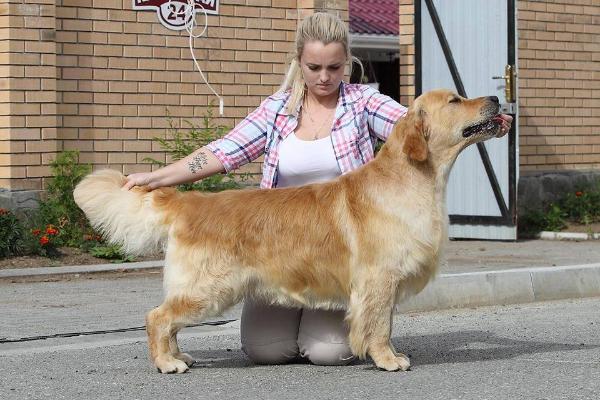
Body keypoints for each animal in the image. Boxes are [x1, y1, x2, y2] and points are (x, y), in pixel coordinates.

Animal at [74, 89, 506, 374]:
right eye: (455, 101)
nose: (496, 98)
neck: (415, 179)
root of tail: (189, 201)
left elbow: (383, 322)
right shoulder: (378, 278)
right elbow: (379, 324)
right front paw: (387, 359)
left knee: (169, 320)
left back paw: (179, 356)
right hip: (208, 287)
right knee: (157, 316)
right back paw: (167, 363)